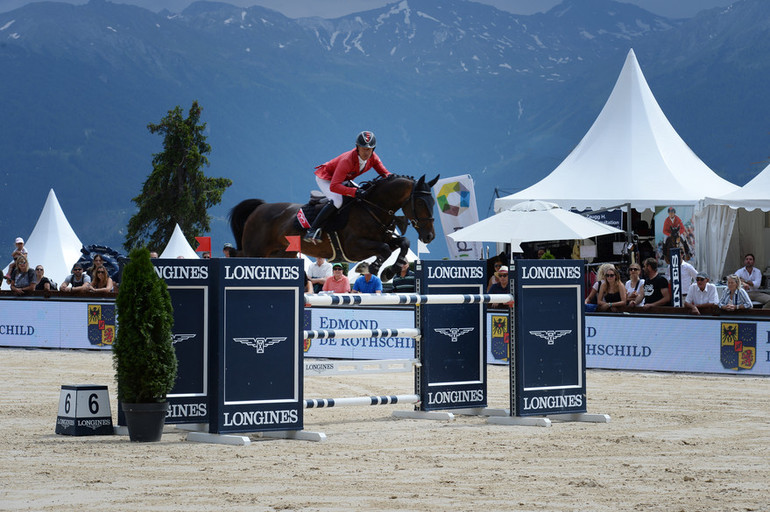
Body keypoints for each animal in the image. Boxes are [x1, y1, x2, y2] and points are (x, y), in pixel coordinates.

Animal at [228, 175, 438, 280]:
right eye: (420, 202)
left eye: (433, 202)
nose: (429, 236)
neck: (372, 207)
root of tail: (260, 207)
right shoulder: (354, 247)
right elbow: (386, 249)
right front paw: (373, 268)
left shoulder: (384, 237)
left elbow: (403, 242)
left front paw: (389, 271)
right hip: (255, 251)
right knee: (240, 256)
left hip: (281, 254)